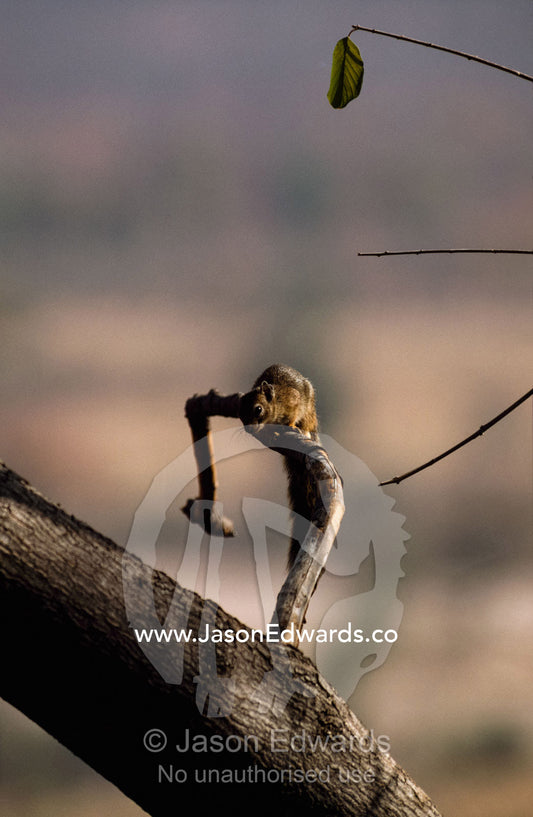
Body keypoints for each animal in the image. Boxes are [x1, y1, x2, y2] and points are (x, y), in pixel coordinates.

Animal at [239, 364, 323, 569]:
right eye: (239, 413)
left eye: (258, 409)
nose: (249, 430)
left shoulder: (294, 401)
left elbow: (293, 415)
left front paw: (290, 426)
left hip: (309, 412)